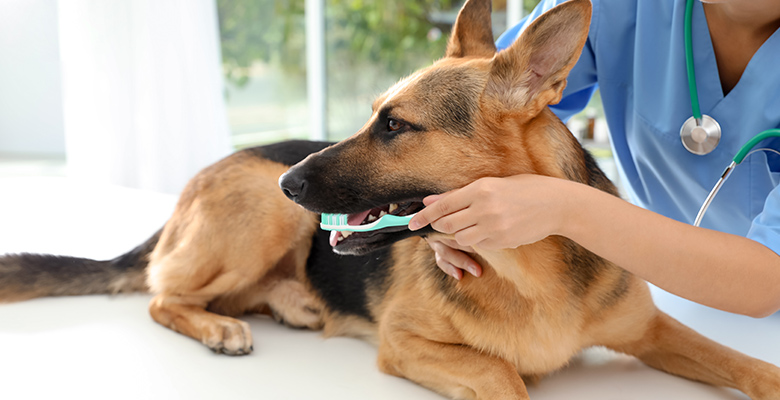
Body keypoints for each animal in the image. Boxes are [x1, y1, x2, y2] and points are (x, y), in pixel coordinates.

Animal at [1, 0, 780, 398]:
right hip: (260, 220)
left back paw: (290, 301)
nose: (292, 182)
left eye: (395, 126)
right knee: (163, 294)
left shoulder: (649, 330)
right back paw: (221, 325)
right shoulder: (407, 344)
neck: (529, 271)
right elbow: (503, 372)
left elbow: (747, 364)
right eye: (374, 115)